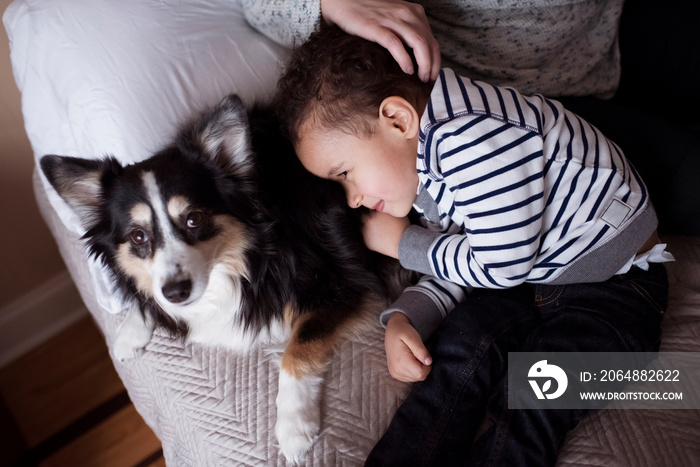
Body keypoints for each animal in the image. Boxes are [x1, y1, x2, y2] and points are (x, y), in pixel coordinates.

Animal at [39, 94, 410, 460]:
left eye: (194, 219)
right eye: (138, 236)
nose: (175, 292)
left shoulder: (343, 283)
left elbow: (298, 346)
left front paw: (293, 426)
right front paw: (132, 329)